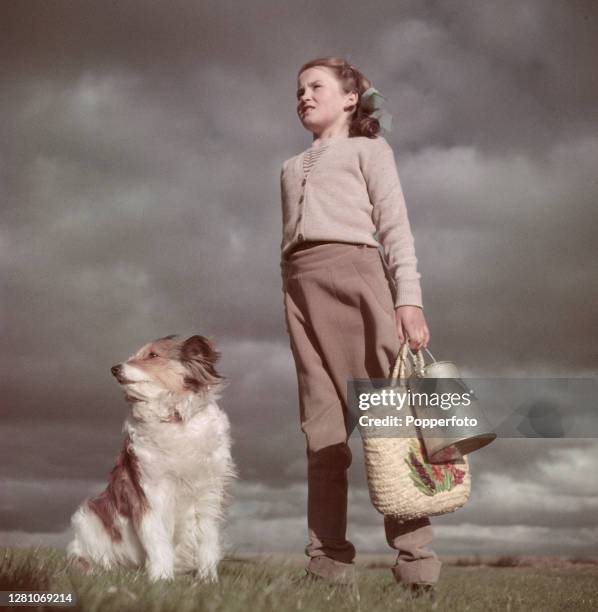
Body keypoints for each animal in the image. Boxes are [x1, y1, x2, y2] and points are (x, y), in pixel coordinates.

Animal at [67, 338, 237, 580]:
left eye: (153, 355)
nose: (114, 369)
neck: (175, 420)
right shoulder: (151, 492)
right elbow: (157, 538)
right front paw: (162, 578)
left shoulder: (209, 493)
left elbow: (208, 542)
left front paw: (208, 579)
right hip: (89, 517)